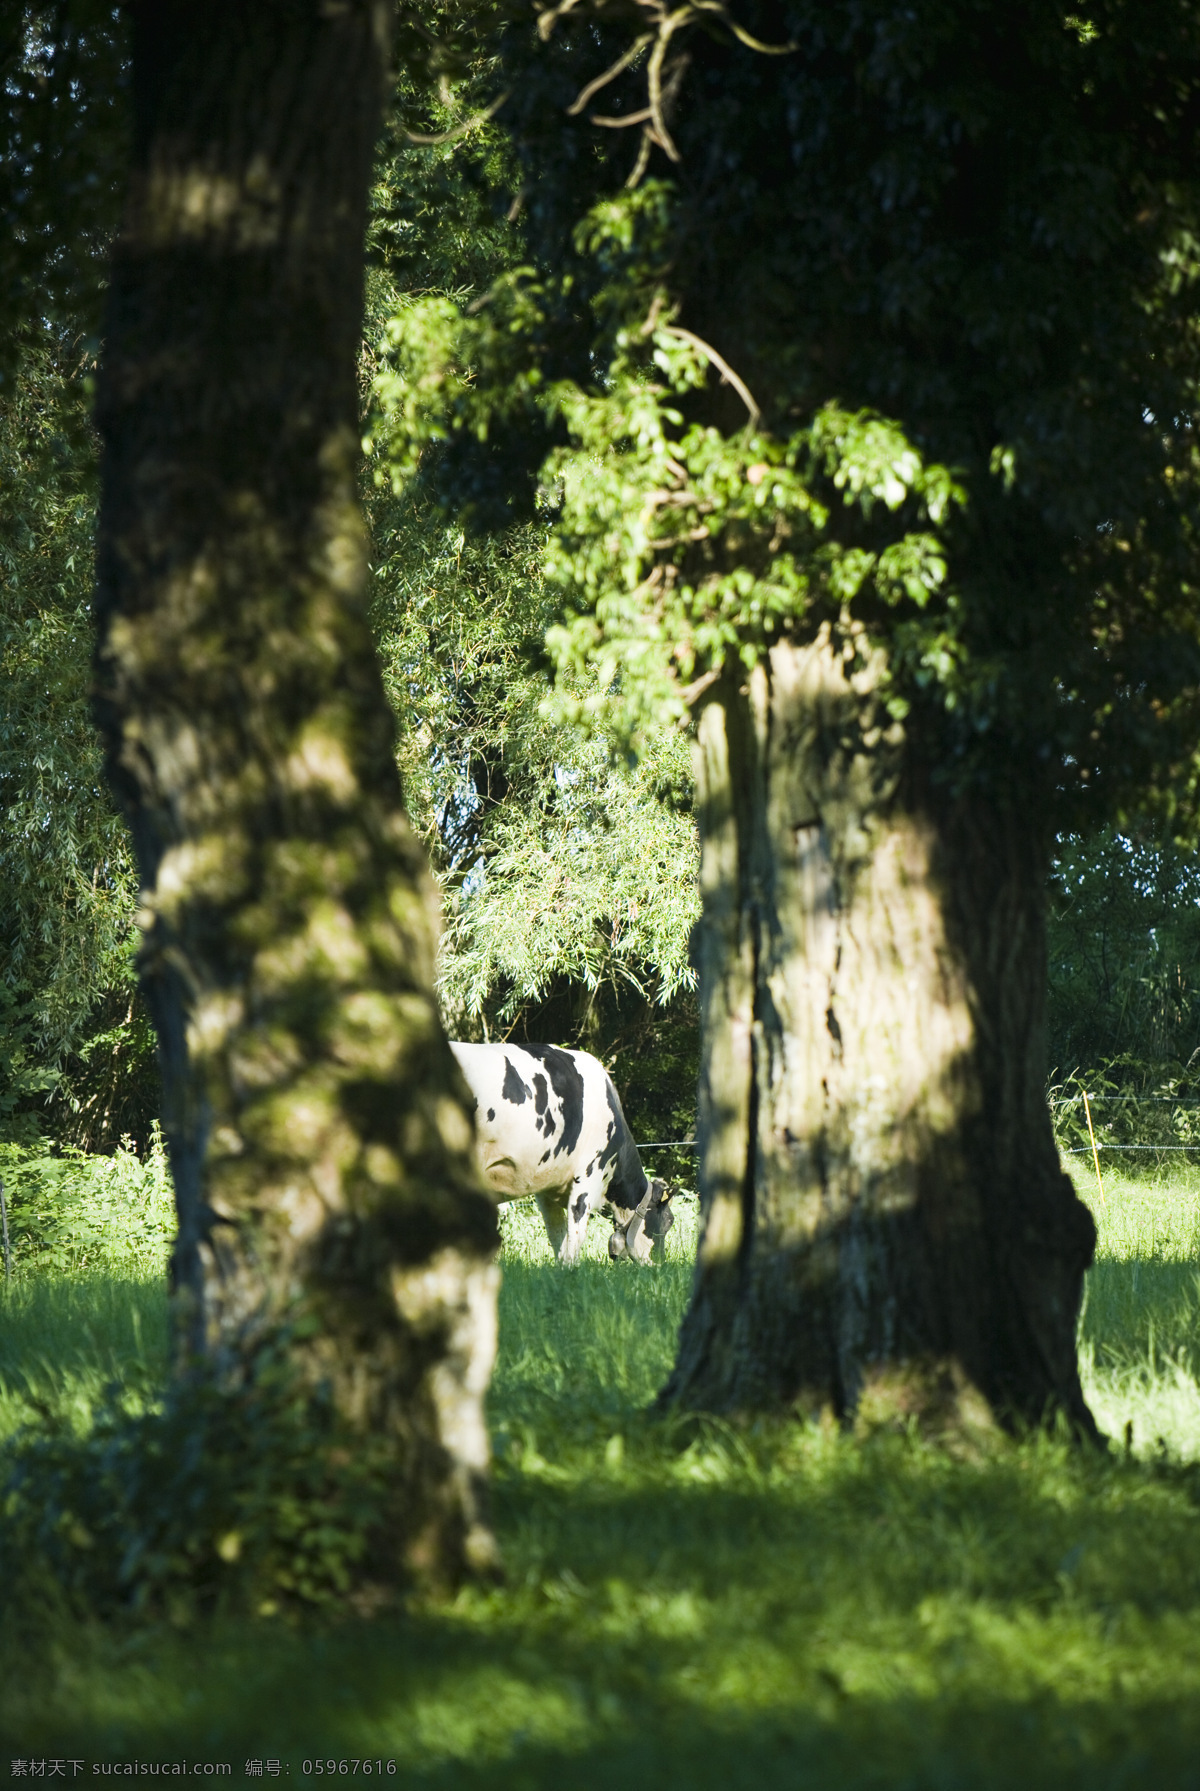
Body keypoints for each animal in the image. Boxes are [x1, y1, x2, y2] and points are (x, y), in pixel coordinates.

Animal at [451, 1045, 677, 1268]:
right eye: (668, 1221)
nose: (662, 1263)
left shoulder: (546, 1187)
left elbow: (556, 1235)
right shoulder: (588, 1176)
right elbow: (576, 1234)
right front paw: (572, 1270)